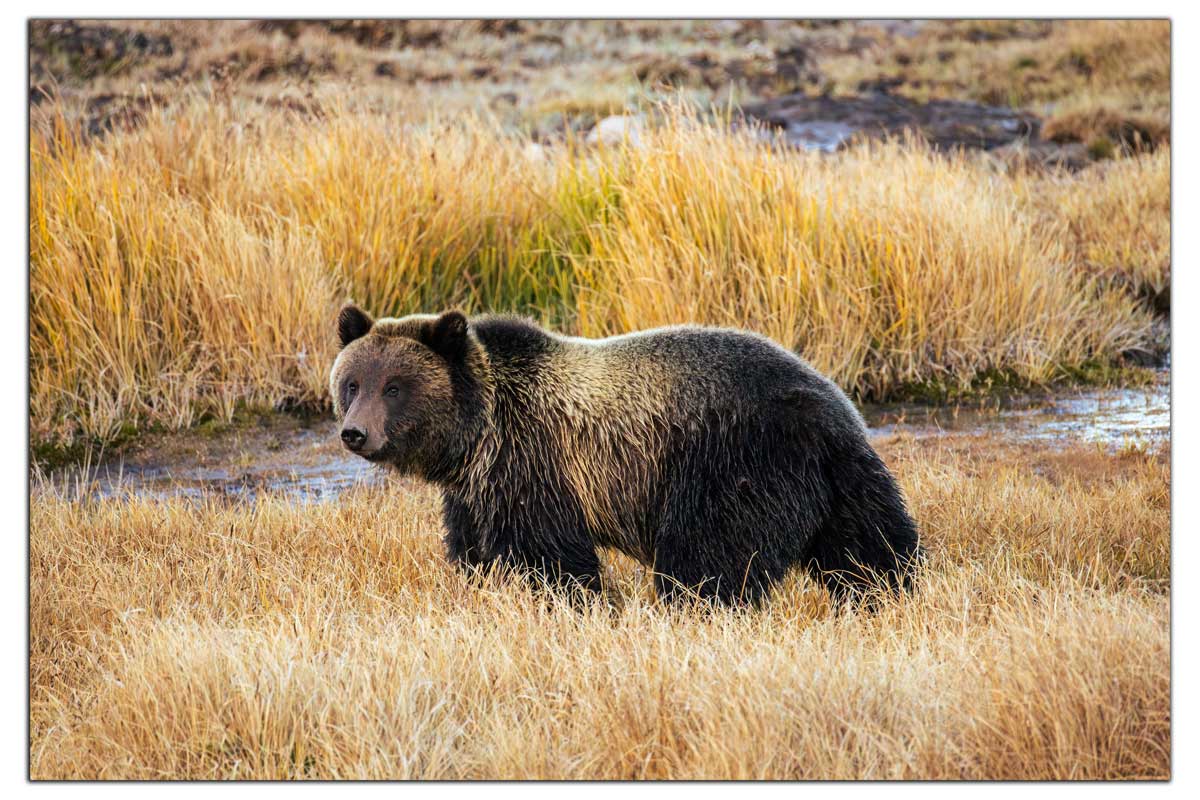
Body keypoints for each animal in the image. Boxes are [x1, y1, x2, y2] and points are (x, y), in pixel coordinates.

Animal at [330, 304, 922, 605]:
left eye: (394, 386)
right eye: (352, 382)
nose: (354, 433)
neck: (477, 436)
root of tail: (829, 408)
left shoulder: (536, 462)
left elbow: (552, 558)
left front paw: (578, 602)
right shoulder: (480, 490)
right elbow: (476, 551)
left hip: (732, 462)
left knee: (709, 556)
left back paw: (696, 606)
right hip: (845, 477)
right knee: (869, 545)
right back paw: (886, 594)